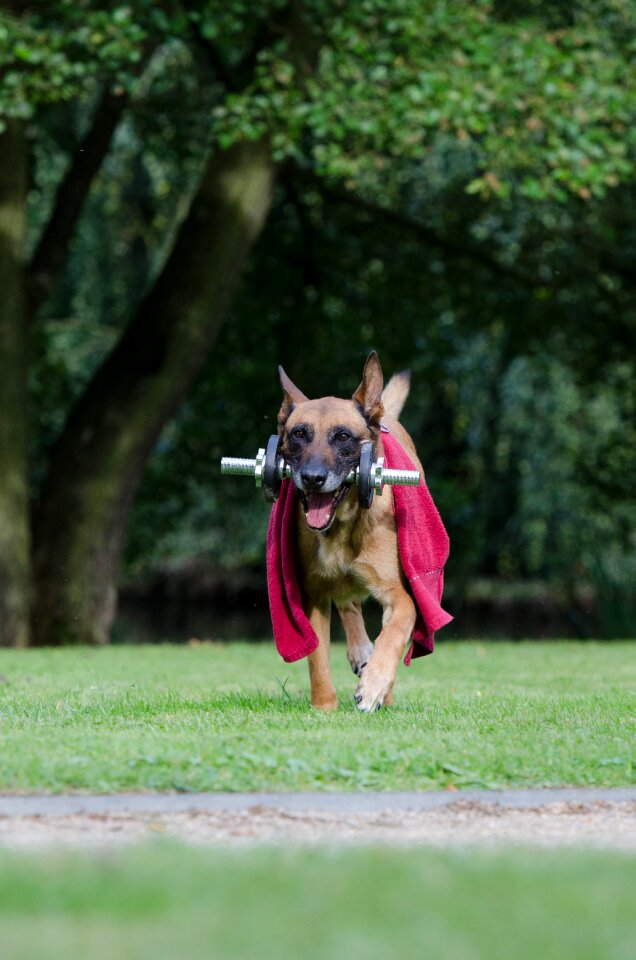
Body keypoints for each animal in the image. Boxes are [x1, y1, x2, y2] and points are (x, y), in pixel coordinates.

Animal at [278, 352, 422, 712]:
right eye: (299, 434)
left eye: (342, 436)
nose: (313, 477)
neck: (342, 526)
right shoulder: (313, 594)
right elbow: (317, 659)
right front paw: (324, 707)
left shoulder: (398, 594)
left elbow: (395, 632)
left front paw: (374, 686)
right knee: (348, 602)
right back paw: (360, 650)